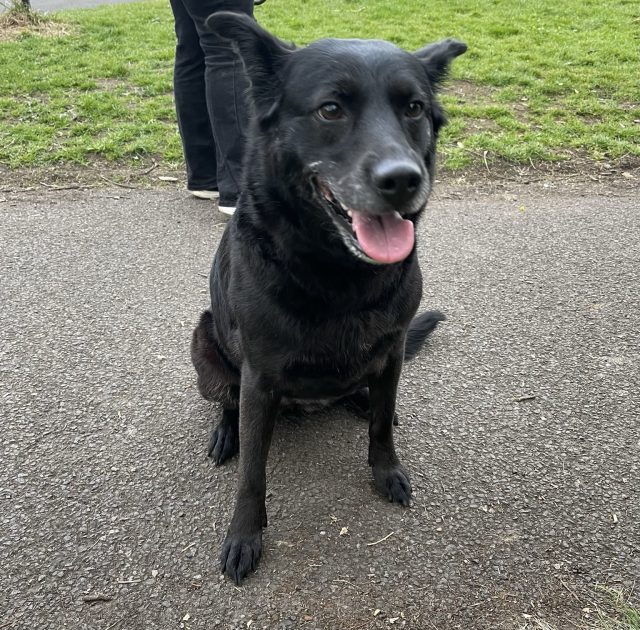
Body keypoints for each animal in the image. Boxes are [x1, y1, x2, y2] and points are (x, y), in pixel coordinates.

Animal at [191, 12, 466, 585]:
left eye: (414, 108)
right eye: (330, 109)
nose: (404, 179)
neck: (339, 273)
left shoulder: (392, 349)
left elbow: (382, 426)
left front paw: (386, 469)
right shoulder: (259, 377)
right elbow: (253, 472)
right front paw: (244, 535)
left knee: (370, 397)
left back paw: (360, 399)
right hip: (204, 343)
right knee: (226, 402)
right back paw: (226, 433)